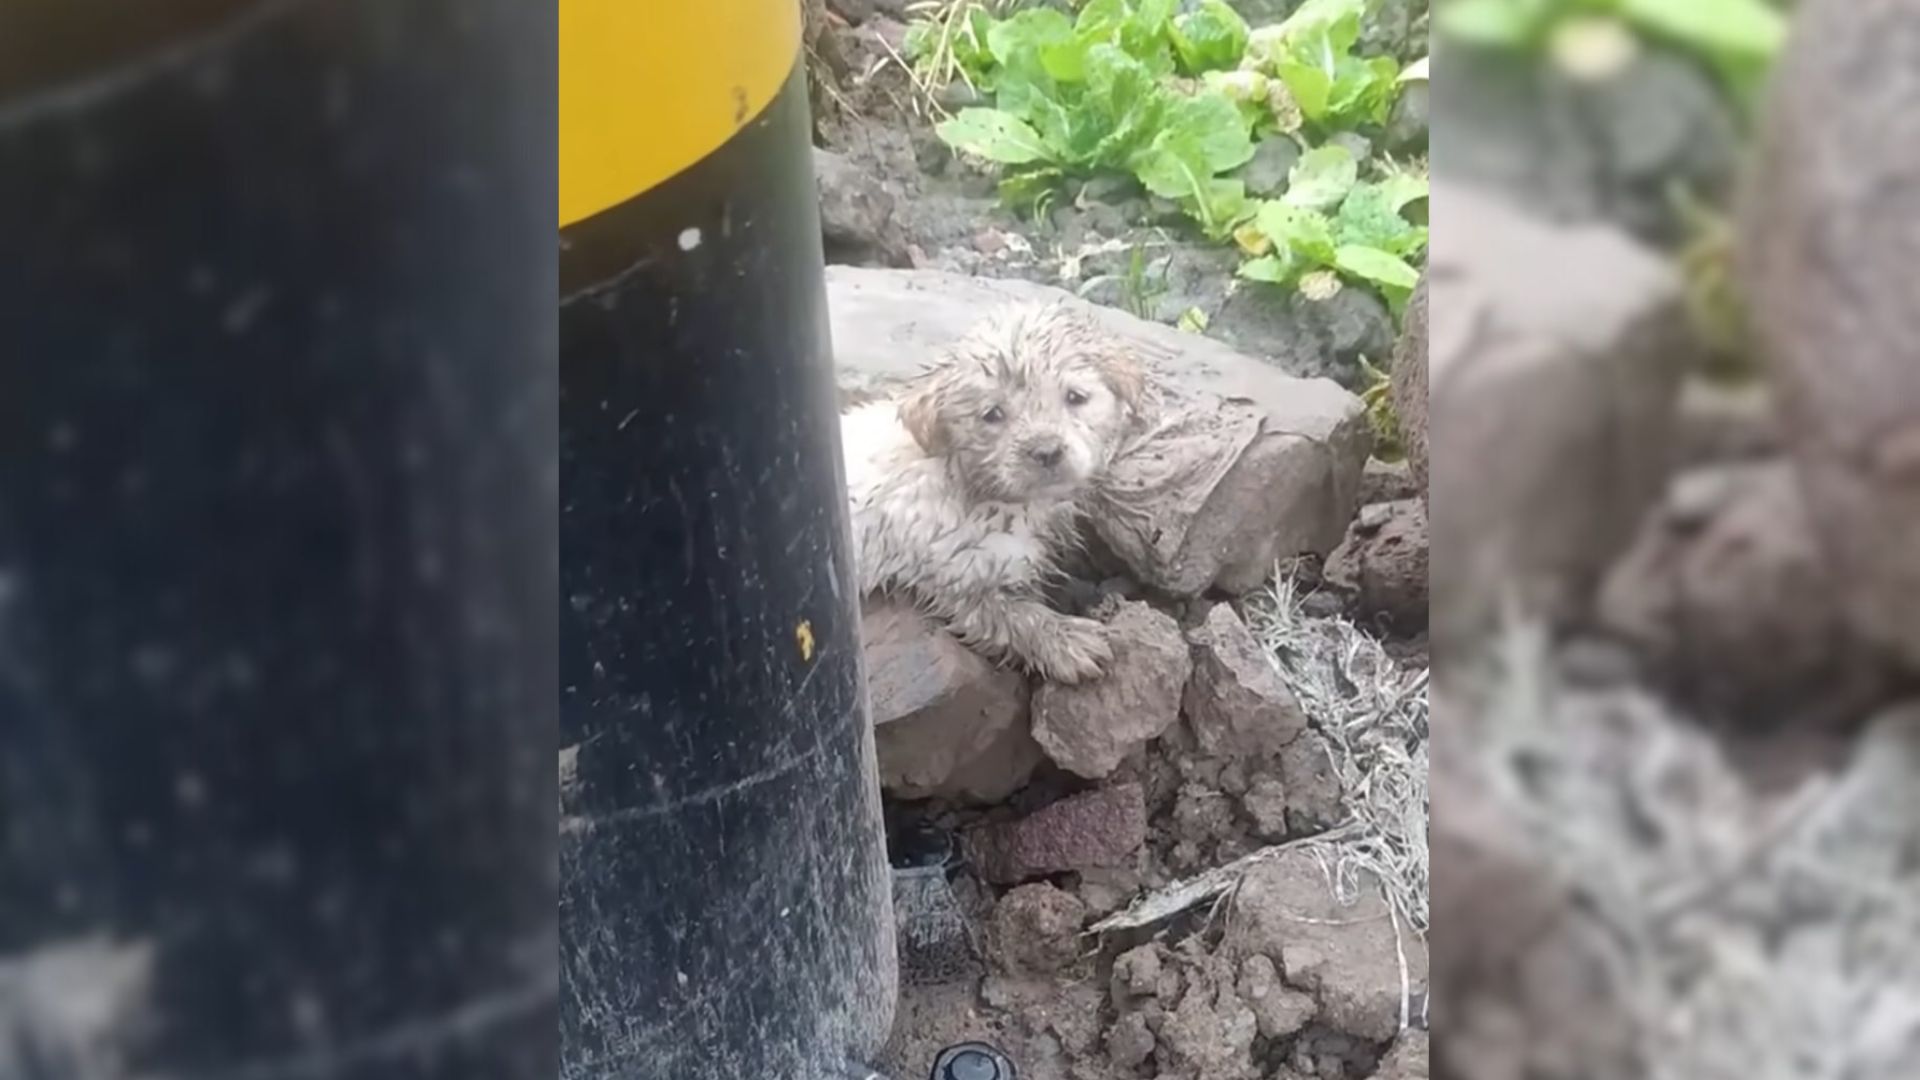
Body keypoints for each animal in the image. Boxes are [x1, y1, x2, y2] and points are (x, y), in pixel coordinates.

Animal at [840, 297, 1136, 676]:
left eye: (1075, 397)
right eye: (992, 414)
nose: (1047, 452)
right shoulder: (959, 574)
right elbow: (1015, 616)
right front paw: (1068, 641)